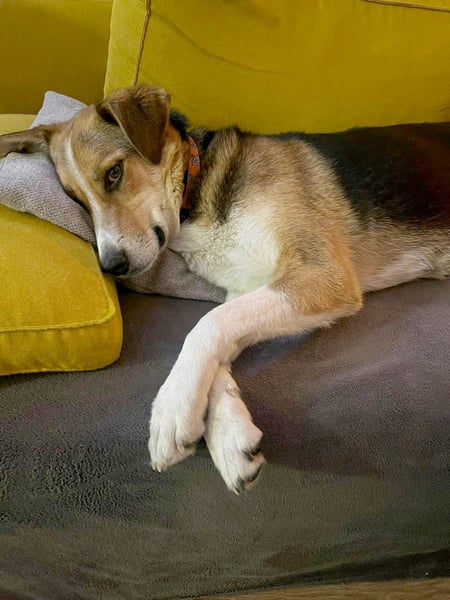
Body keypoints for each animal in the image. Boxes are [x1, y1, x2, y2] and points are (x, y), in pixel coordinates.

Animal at [1, 85, 449, 493]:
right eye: (75, 199)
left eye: (114, 173)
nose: (110, 266)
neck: (197, 191)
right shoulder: (248, 289)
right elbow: (217, 345)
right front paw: (230, 436)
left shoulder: (321, 274)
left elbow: (206, 325)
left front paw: (172, 410)